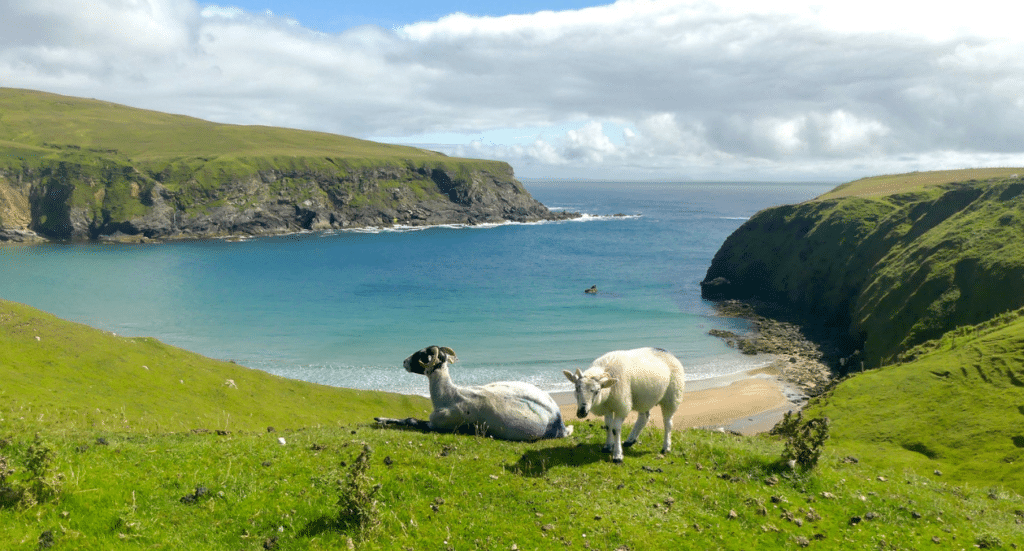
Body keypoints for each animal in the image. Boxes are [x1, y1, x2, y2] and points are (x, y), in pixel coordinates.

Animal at [374, 346, 573, 440]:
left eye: (422, 354)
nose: (404, 361)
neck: (448, 395)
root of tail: (559, 422)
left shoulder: (439, 424)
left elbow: (411, 420)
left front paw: (380, 419)